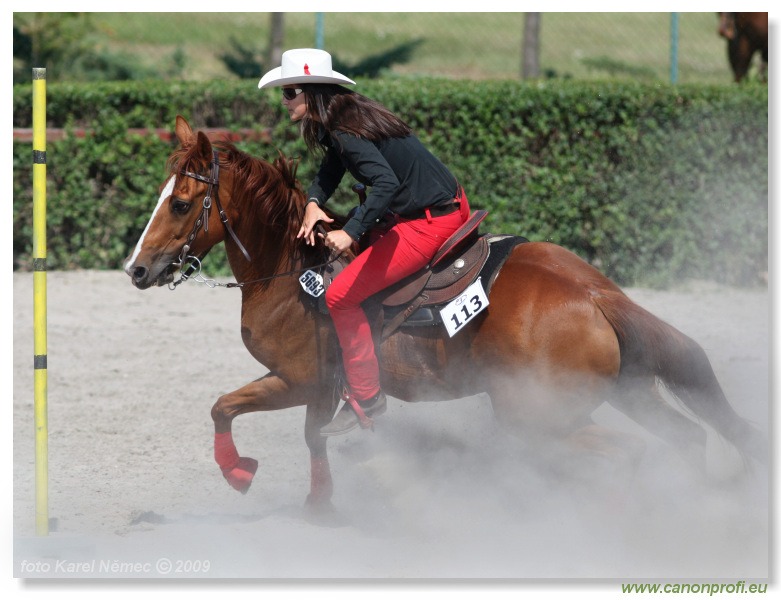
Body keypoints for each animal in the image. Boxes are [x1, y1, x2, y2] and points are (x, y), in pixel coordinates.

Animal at [123, 117, 768, 510]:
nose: (137, 269)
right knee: (688, 437)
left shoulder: (298, 378)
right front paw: (318, 505)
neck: (293, 269)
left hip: (538, 415)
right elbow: (307, 437)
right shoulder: (321, 387)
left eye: (181, 203)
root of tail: (594, 295)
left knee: (632, 452)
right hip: (626, 389)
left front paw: (239, 473)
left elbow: (225, 407)